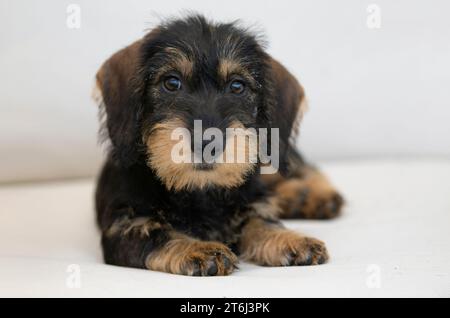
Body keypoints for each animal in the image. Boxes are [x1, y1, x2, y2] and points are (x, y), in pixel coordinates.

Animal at [93, 14, 342, 276]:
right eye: (171, 82)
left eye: (237, 86)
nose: (206, 142)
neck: (199, 191)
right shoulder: (126, 227)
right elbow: (161, 235)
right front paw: (199, 249)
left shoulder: (250, 204)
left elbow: (260, 222)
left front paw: (290, 239)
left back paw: (314, 195)